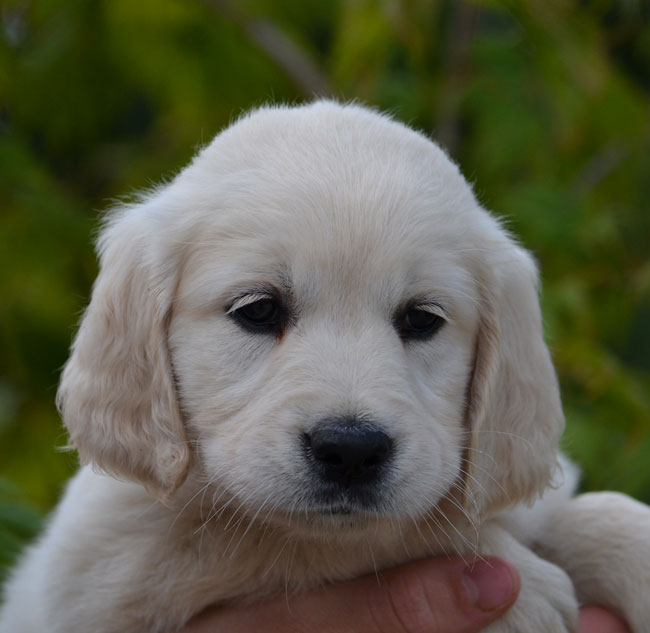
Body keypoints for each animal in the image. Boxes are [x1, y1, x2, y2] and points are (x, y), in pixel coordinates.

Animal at [1, 101, 648, 628]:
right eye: (258, 310)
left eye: (422, 319)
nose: (351, 450)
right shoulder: (109, 571)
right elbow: (319, 544)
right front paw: (516, 588)